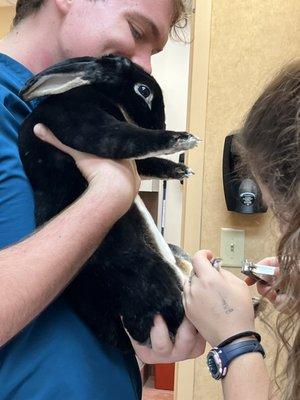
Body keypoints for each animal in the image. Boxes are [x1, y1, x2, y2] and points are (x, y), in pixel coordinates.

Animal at [18, 54, 197, 348]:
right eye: (144, 91)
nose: (159, 125)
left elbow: (147, 162)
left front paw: (180, 170)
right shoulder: (85, 123)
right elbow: (131, 140)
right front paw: (182, 139)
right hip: (154, 277)